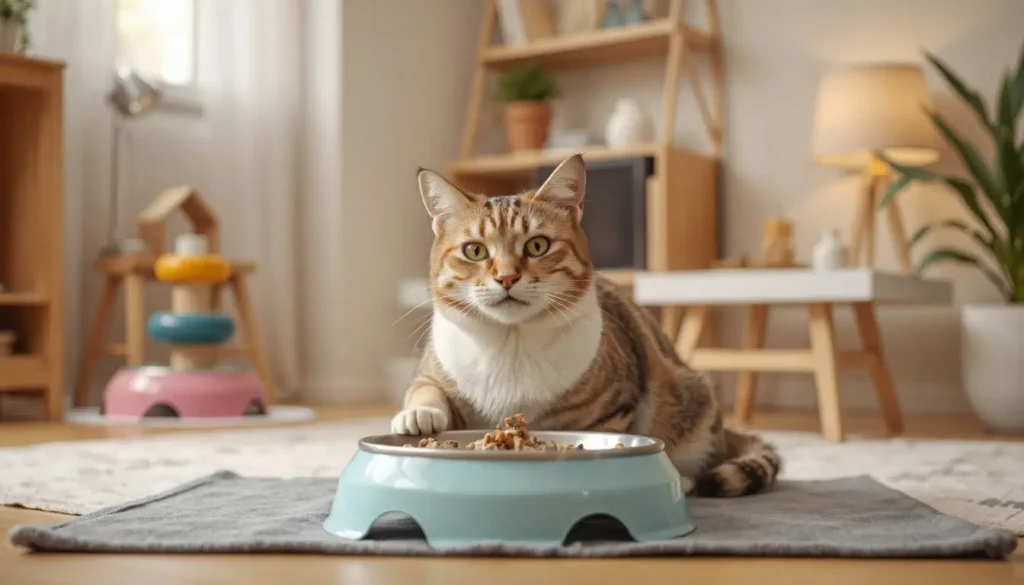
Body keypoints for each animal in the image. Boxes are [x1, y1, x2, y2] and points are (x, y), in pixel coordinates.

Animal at [395, 153, 778, 495]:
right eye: (474, 251)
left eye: (537, 245)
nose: (506, 277)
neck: (510, 341)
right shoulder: (432, 370)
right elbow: (425, 389)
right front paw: (418, 415)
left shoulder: (612, 409)